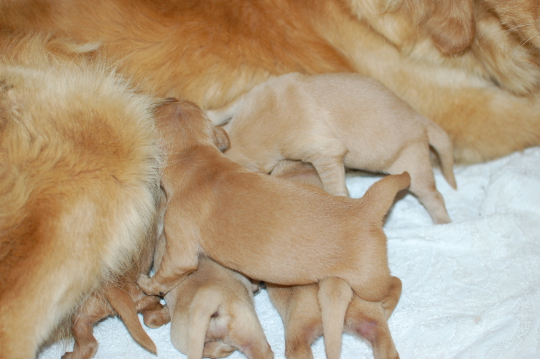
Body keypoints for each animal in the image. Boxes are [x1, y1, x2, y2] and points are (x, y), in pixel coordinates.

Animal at [136, 100, 410, 320]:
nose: (167, 96)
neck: (195, 157)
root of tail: (365, 207)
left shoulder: (179, 251)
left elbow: (166, 274)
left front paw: (147, 284)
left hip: (368, 282)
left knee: (396, 283)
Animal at [218, 72, 456, 225]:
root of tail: (421, 121)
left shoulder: (325, 152)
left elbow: (334, 184)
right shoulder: (250, 96)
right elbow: (223, 109)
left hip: (413, 166)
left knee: (434, 196)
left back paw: (443, 222)